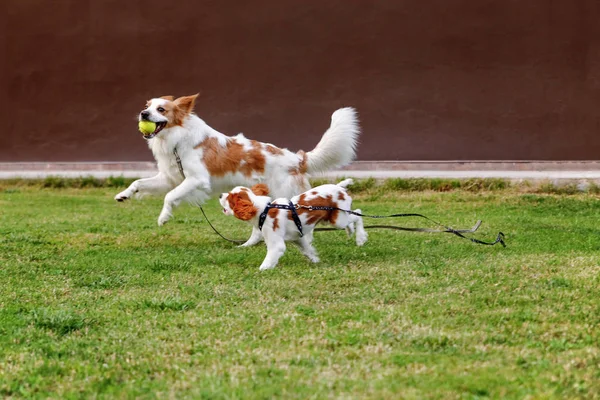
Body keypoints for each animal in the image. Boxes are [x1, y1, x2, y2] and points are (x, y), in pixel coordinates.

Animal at [217, 179, 364, 270]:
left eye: (229, 198)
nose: (219, 195)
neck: (264, 210)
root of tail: (339, 187)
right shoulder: (297, 238)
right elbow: (307, 250)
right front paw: (316, 260)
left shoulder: (275, 242)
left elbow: (269, 259)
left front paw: (261, 269)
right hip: (333, 218)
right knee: (353, 218)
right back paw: (351, 231)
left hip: (338, 220)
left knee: (358, 213)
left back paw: (360, 238)